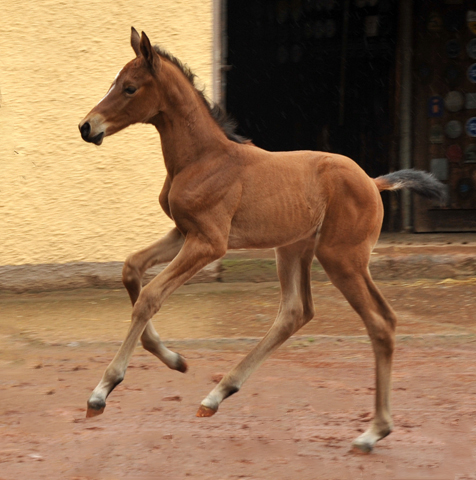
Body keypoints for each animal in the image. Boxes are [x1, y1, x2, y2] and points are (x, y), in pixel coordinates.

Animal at [78, 29, 446, 454]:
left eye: (129, 88)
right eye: (115, 82)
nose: (87, 126)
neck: (202, 158)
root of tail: (373, 182)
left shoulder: (210, 242)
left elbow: (150, 296)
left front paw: (102, 391)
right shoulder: (184, 232)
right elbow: (131, 269)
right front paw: (175, 359)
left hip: (341, 258)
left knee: (380, 322)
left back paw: (373, 432)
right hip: (294, 249)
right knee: (296, 312)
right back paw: (217, 395)